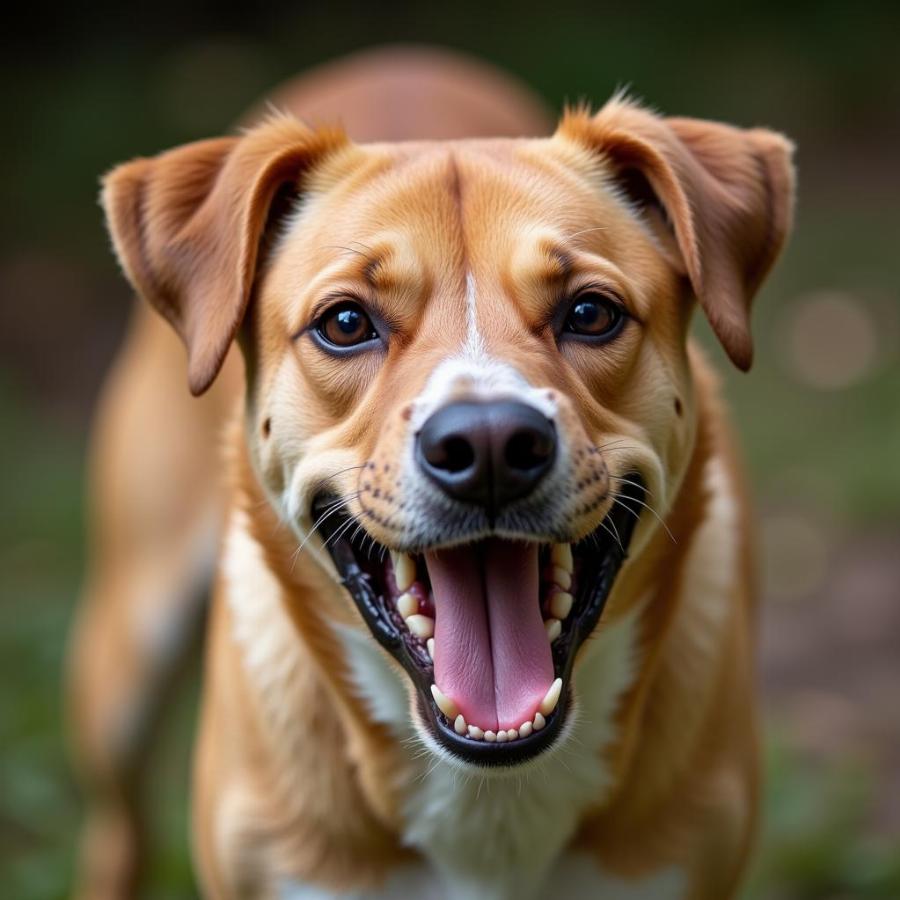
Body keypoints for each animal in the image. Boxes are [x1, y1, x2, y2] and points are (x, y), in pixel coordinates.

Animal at [68, 47, 796, 900]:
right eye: (346, 323)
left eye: (591, 313)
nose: (489, 445)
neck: (492, 796)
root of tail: (393, 59)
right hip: (127, 651)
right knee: (118, 827)